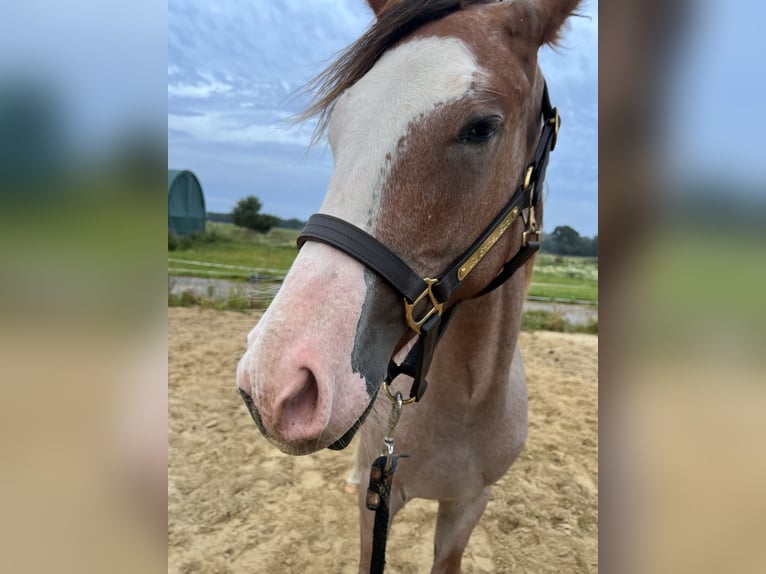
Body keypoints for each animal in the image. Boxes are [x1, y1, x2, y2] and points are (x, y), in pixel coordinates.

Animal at [236, 0, 582, 572]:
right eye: (342, 123)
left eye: (481, 128)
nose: (272, 384)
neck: (466, 404)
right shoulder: (379, 499)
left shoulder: (469, 504)